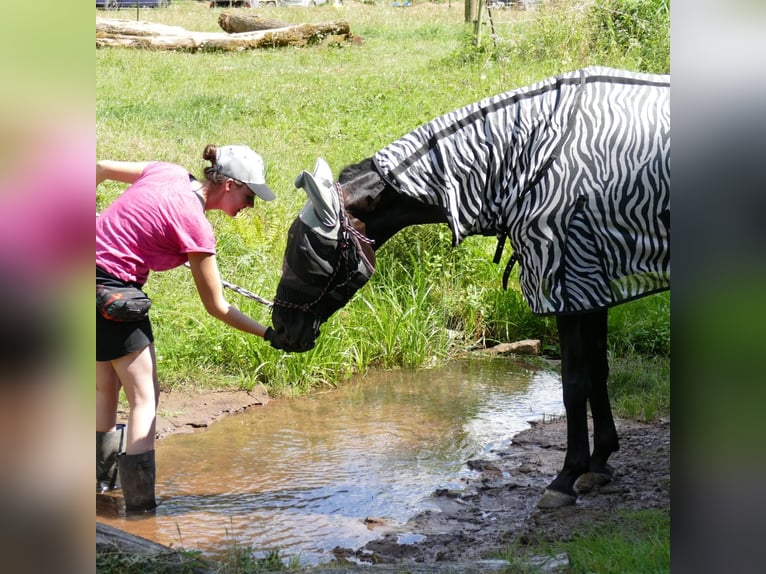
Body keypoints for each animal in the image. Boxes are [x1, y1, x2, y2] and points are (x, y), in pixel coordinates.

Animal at [267, 67, 670, 508]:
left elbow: (574, 383)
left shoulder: (570, 281)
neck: (534, 155)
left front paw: (567, 475)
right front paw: (599, 462)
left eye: (304, 248)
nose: (280, 328)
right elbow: (598, 371)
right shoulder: (594, 286)